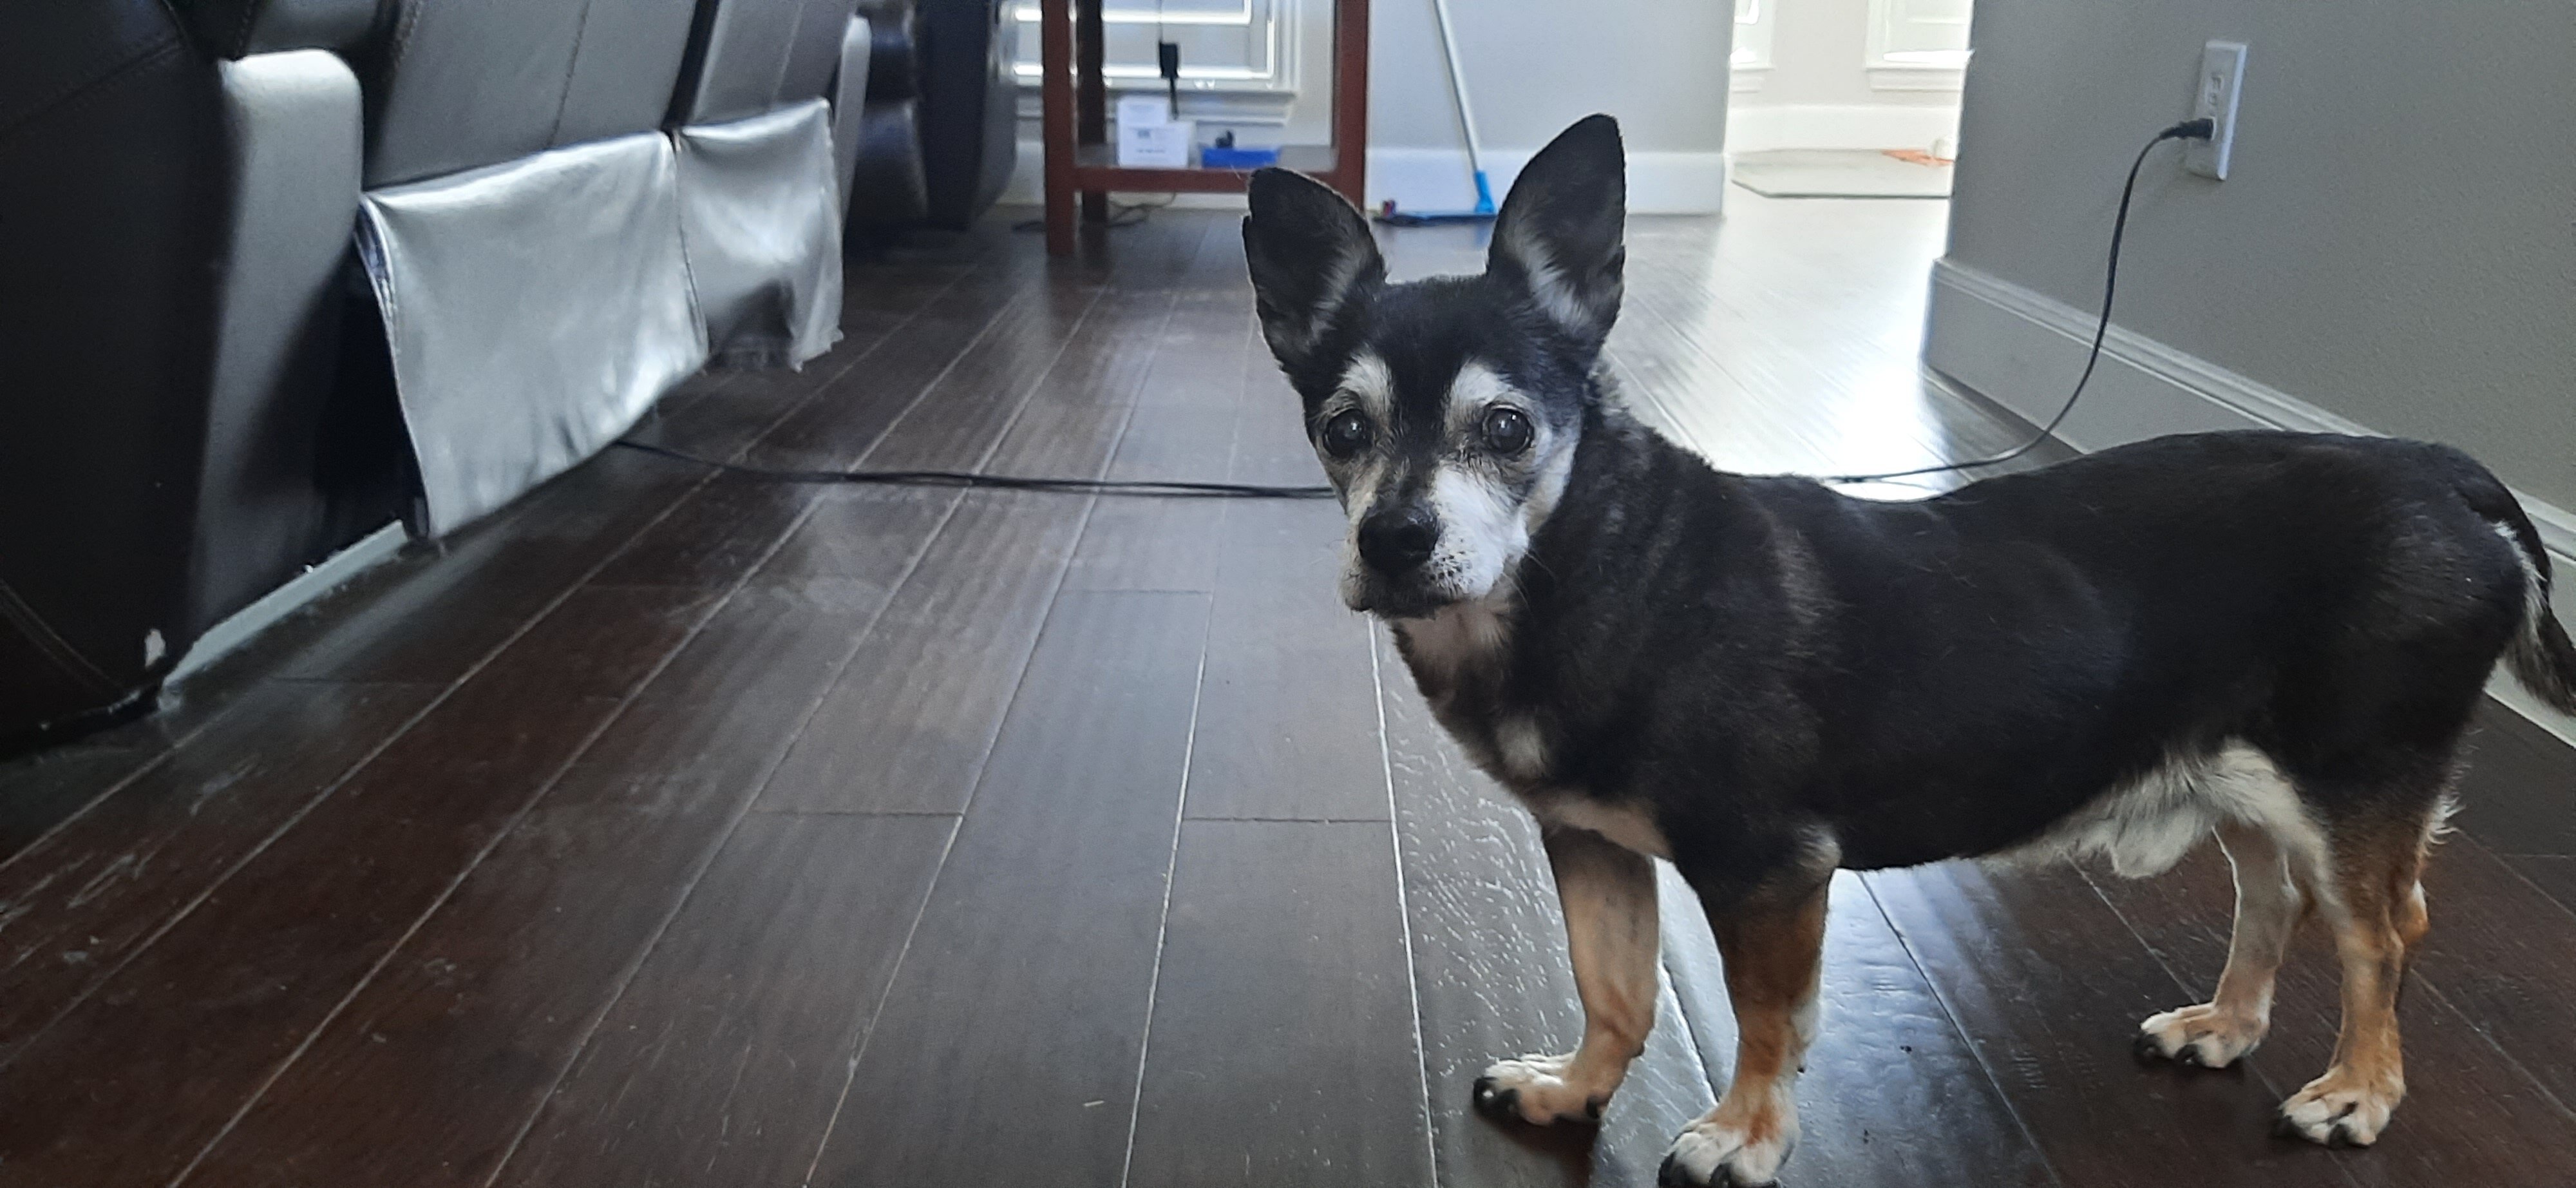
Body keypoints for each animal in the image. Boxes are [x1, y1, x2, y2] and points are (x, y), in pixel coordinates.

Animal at [1241, 114, 2576, 1187]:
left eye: (1509, 429)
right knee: (2275, 893)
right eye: (1341, 429)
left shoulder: (1769, 868)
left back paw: (2359, 1089)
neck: (1591, 566)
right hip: (2246, 772)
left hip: (2355, 784)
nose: (1393, 540)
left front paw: (1745, 1134)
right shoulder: (1590, 839)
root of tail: (2437, 469)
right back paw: (2225, 1024)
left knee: (2382, 932)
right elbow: (1612, 985)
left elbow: (1765, 1018)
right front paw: (1574, 1087)